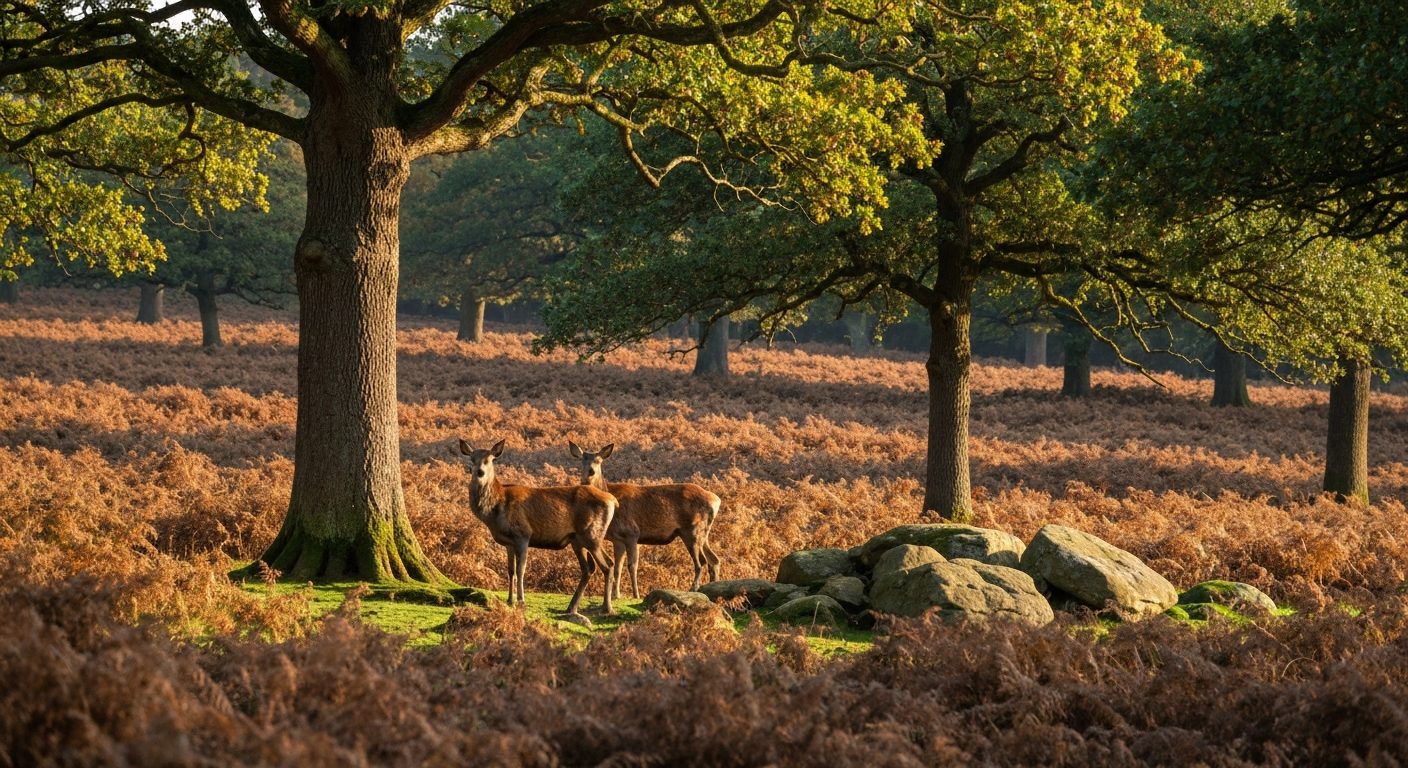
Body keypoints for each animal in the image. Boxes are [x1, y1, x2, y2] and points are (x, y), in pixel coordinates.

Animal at [460, 438, 617, 621]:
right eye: (472, 459)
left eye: (490, 459)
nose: (479, 472)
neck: (495, 509)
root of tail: (613, 500)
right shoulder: (508, 542)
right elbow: (510, 571)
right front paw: (509, 600)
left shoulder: (523, 534)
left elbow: (521, 569)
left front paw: (521, 601)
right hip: (577, 540)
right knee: (588, 569)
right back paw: (571, 607)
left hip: (592, 534)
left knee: (607, 564)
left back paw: (606, 608)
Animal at [568, 440, 722, 599]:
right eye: (582, 459)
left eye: (598, 460)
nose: (590, 471)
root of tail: (716, 500)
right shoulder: (617, 539)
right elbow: (617, 567)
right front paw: (616, 595)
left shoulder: (632, 533)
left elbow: (632, 565)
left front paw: (636, 595)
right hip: (703, 533)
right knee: (714, 560)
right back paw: (712, 589)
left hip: (692, 530)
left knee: (701, 562)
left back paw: (694, 588)